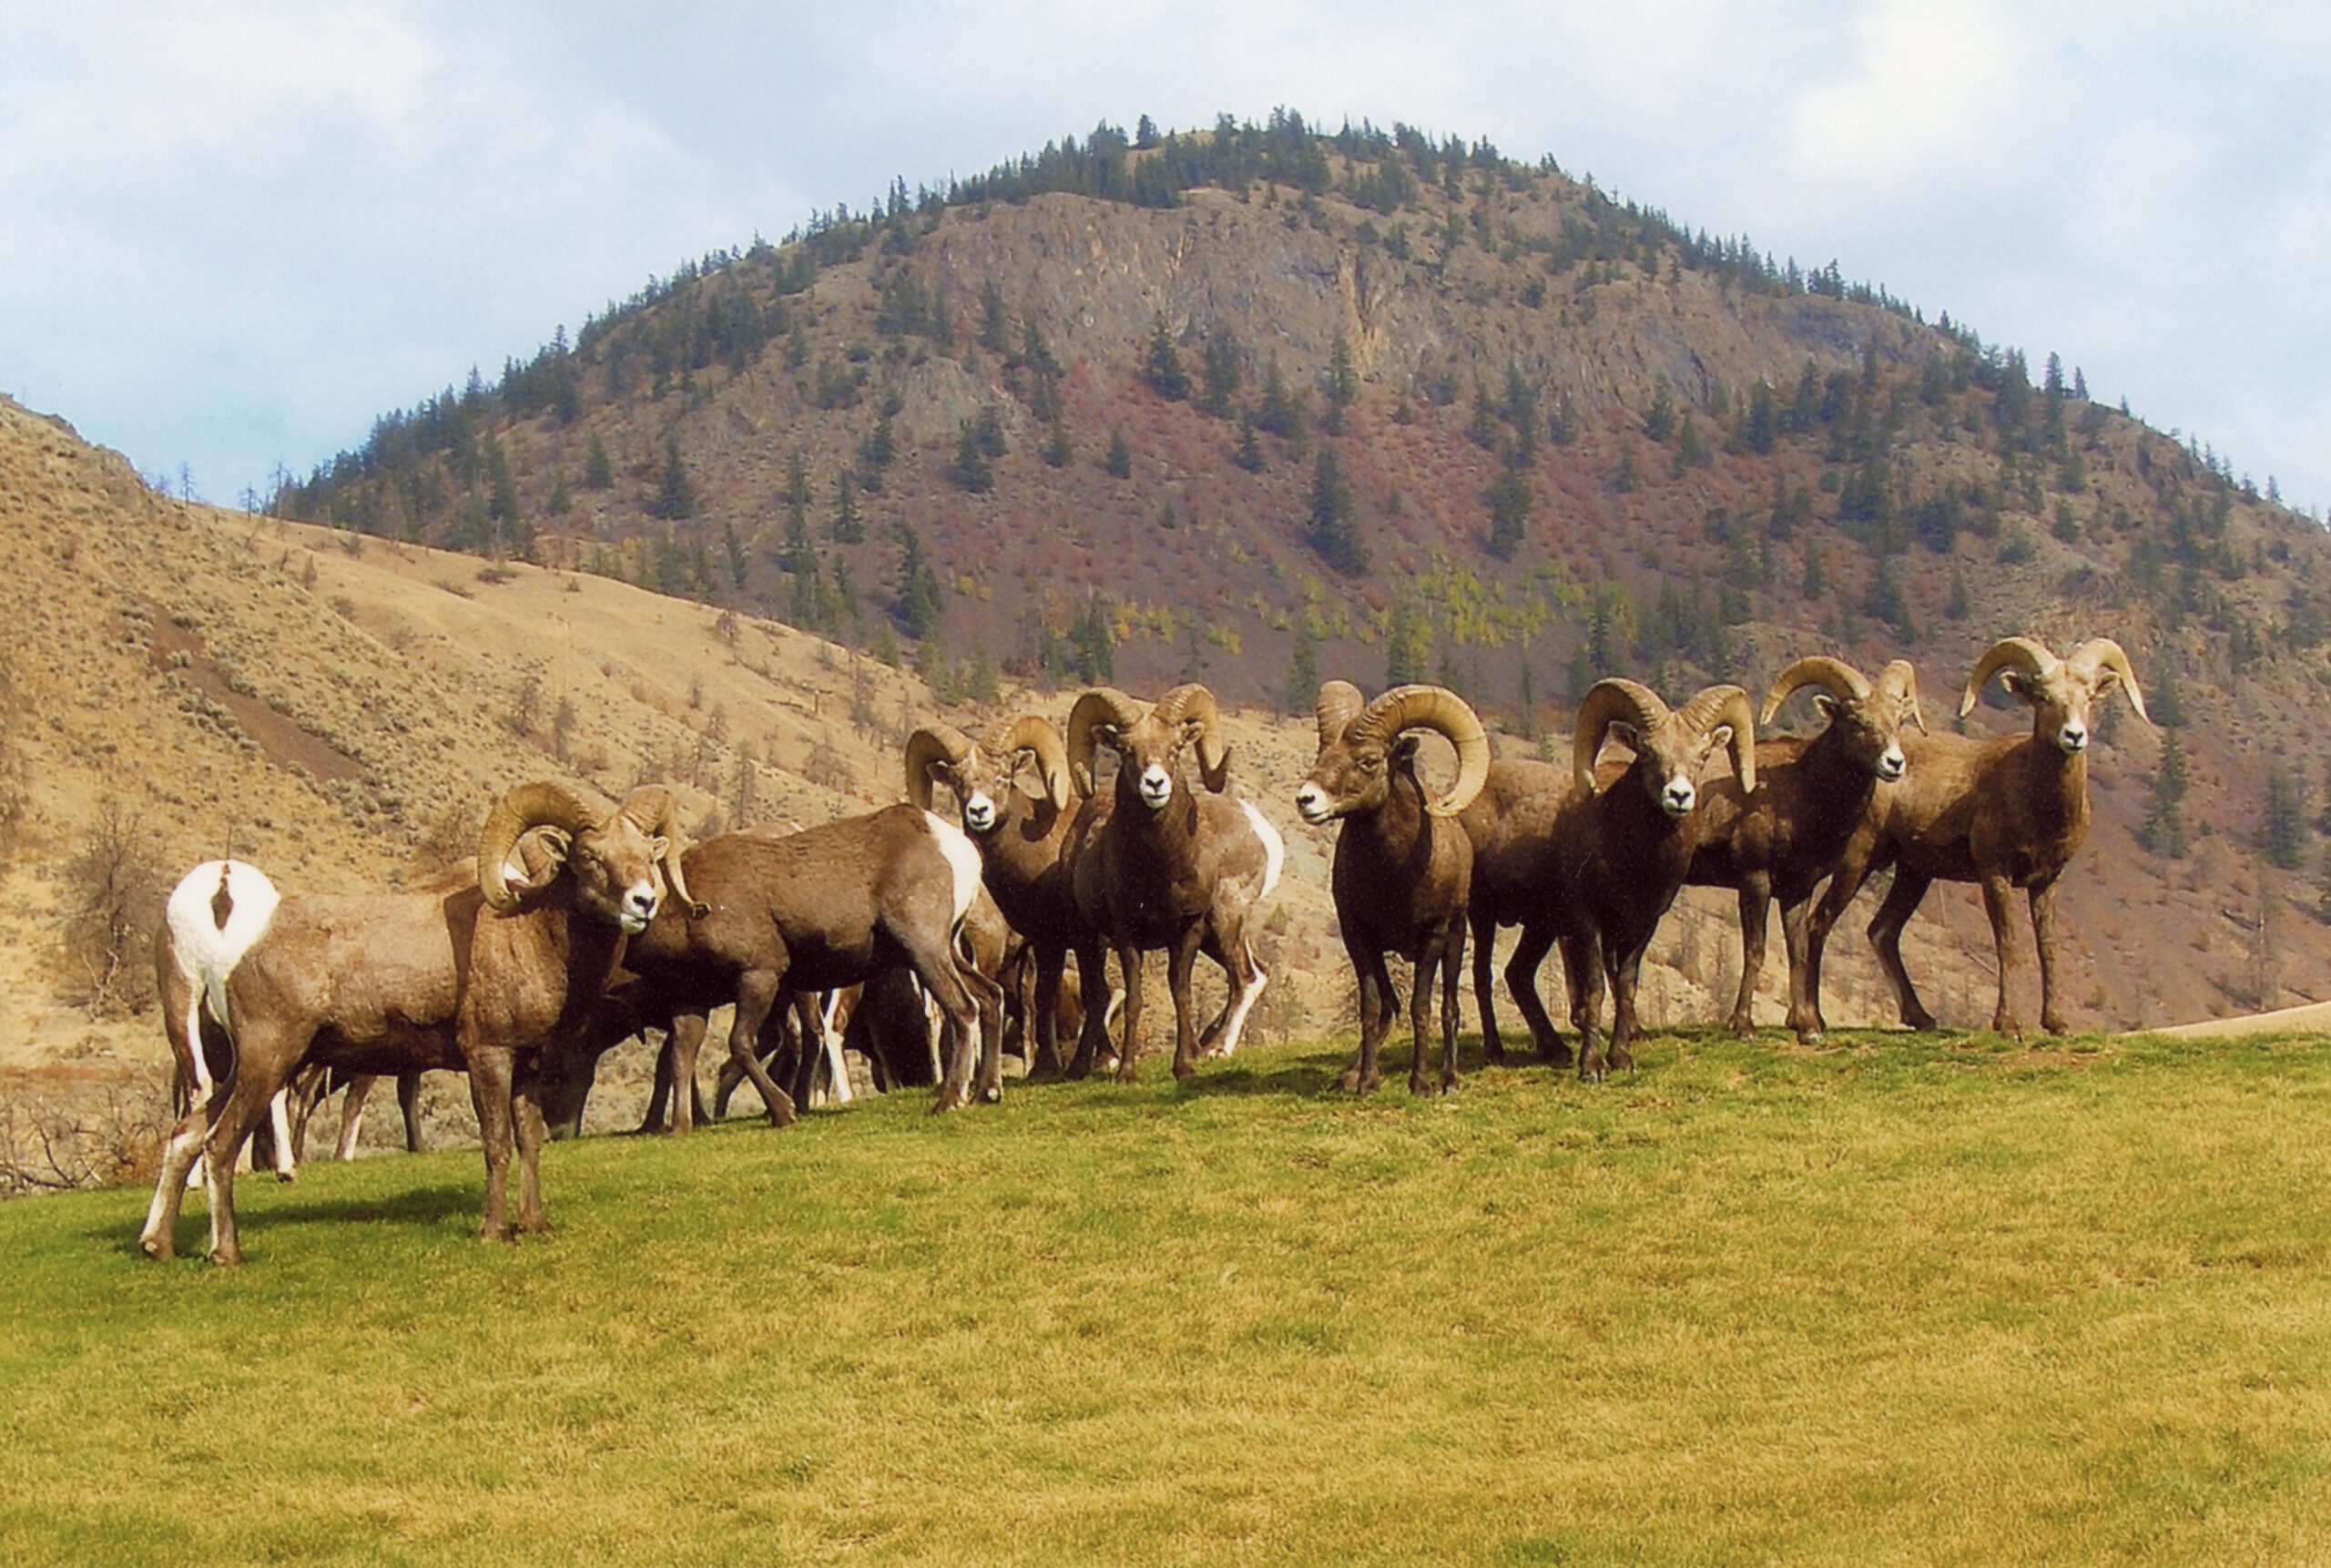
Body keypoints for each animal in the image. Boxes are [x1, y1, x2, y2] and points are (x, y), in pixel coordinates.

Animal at [139, 781, 697, 1264]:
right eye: (588, 857)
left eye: (648, 854)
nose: (643, 902)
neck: (533, 935)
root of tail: (232, 949)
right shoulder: (488, 1056)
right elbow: (497, 1144)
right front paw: (495, 1232)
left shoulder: (528, 1067)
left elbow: (530, 1142)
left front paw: (535, 1224)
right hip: (268, 1062)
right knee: (219, 1144)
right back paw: (226, 1254)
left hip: (246, 1067)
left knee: (186, 1134)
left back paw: (157, 1246)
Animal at [1063, 684, 1284, 1082]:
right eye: (1126, 749)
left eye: (1176, 747)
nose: (1155, 784)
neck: (1157, 874)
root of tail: (1261, 829)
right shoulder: (1127, 936)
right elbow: (1134, 1000)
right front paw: (1128, 1073)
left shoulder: (1188, 931)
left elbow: (1181, 993)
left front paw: (1184, 1068)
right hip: (1090, 936)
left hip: (1223, 924)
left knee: (1245, 977)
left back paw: (1215, 1051)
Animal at [1294, 682, 1491, 1095]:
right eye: (1323, 754)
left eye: (1369, 761)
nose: (1306, 799)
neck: (1395, 879)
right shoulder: (1359, 937)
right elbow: (1371, 1007)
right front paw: (1366, 1083)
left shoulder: (1433, 936)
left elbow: (1422, 1007)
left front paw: (1421, 1084)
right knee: (1389, 1006)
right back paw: (1349, 1076)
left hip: (1455, 939)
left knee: (1449, 1007)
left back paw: (1449, 1080)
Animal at [1686, 656, 1926, 1042]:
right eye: (1855, 721)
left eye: (1898, 721)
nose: (1894, 763)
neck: (1801, 791)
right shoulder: (1755, 881)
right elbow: (1755, 950)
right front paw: (1743, 1027)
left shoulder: (1798, 890)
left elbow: (1797, 951)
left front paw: (1807, 1028)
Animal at [1800, 636, 2150, 1039]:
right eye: (2042, 697)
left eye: (2090, 697)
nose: (2074, 736)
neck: (2037, 804)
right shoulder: (1995, 874)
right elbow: (2008, 943)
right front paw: (2008, 1025)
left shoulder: (2047, 881)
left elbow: (2047, 948)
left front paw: (2056, 1024)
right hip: (1857, 861)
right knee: (1819, 922)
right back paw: (1813, 1023)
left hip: (1913, 875)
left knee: (1882, 931)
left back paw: (1922, 1019)